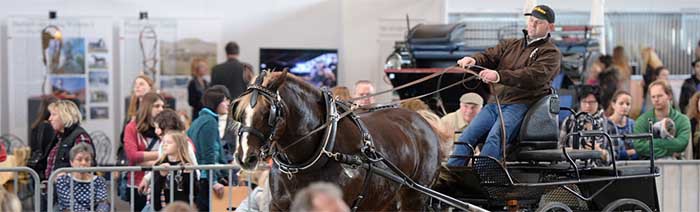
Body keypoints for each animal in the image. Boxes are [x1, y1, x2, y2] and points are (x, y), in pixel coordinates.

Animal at [232, 71, 446, 210]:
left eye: (268, 113)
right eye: (239, 111)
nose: (245, 157)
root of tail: (423, 122)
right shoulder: (278, 206)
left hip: (415, 196)